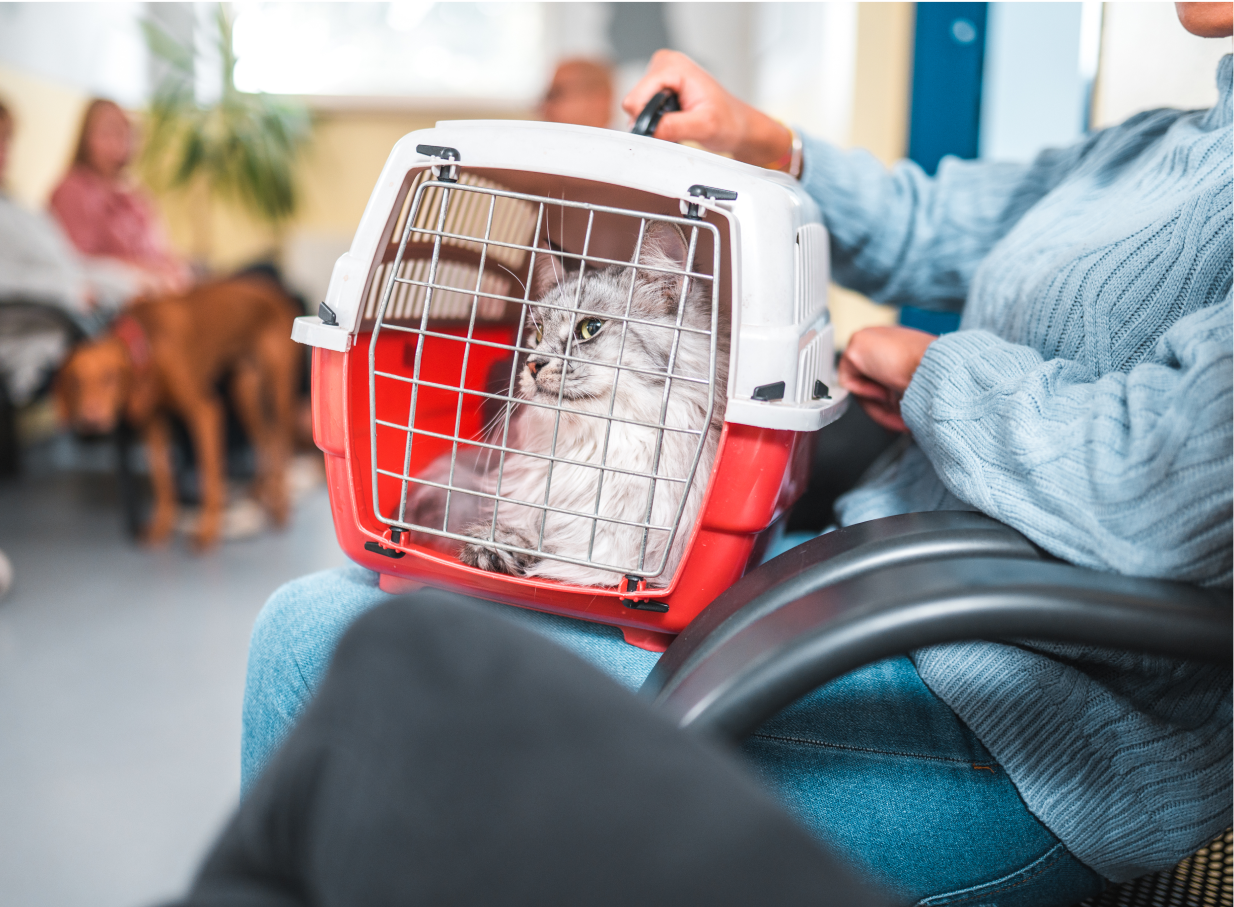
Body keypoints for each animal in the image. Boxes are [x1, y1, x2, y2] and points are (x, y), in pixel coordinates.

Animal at [58, 272, 304, 550]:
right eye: (75, 382)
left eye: (110, 377)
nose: (91, 420)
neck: (148, 339)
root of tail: (276, 290)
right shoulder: (153, 423)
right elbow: (163, 480)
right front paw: (161, 527)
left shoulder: (205, 412)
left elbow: (210, 476)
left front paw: (208, 531)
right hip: (244, 393)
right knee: (265, 441)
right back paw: (262, 494)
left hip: (278, 393)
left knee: (281, 444)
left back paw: (280, 508)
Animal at [409, 222, 725, 584]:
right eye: (537, 333)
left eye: (590, 328)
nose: (532, 365)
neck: (594, 452)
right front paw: (495, 546)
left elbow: (580, 560)